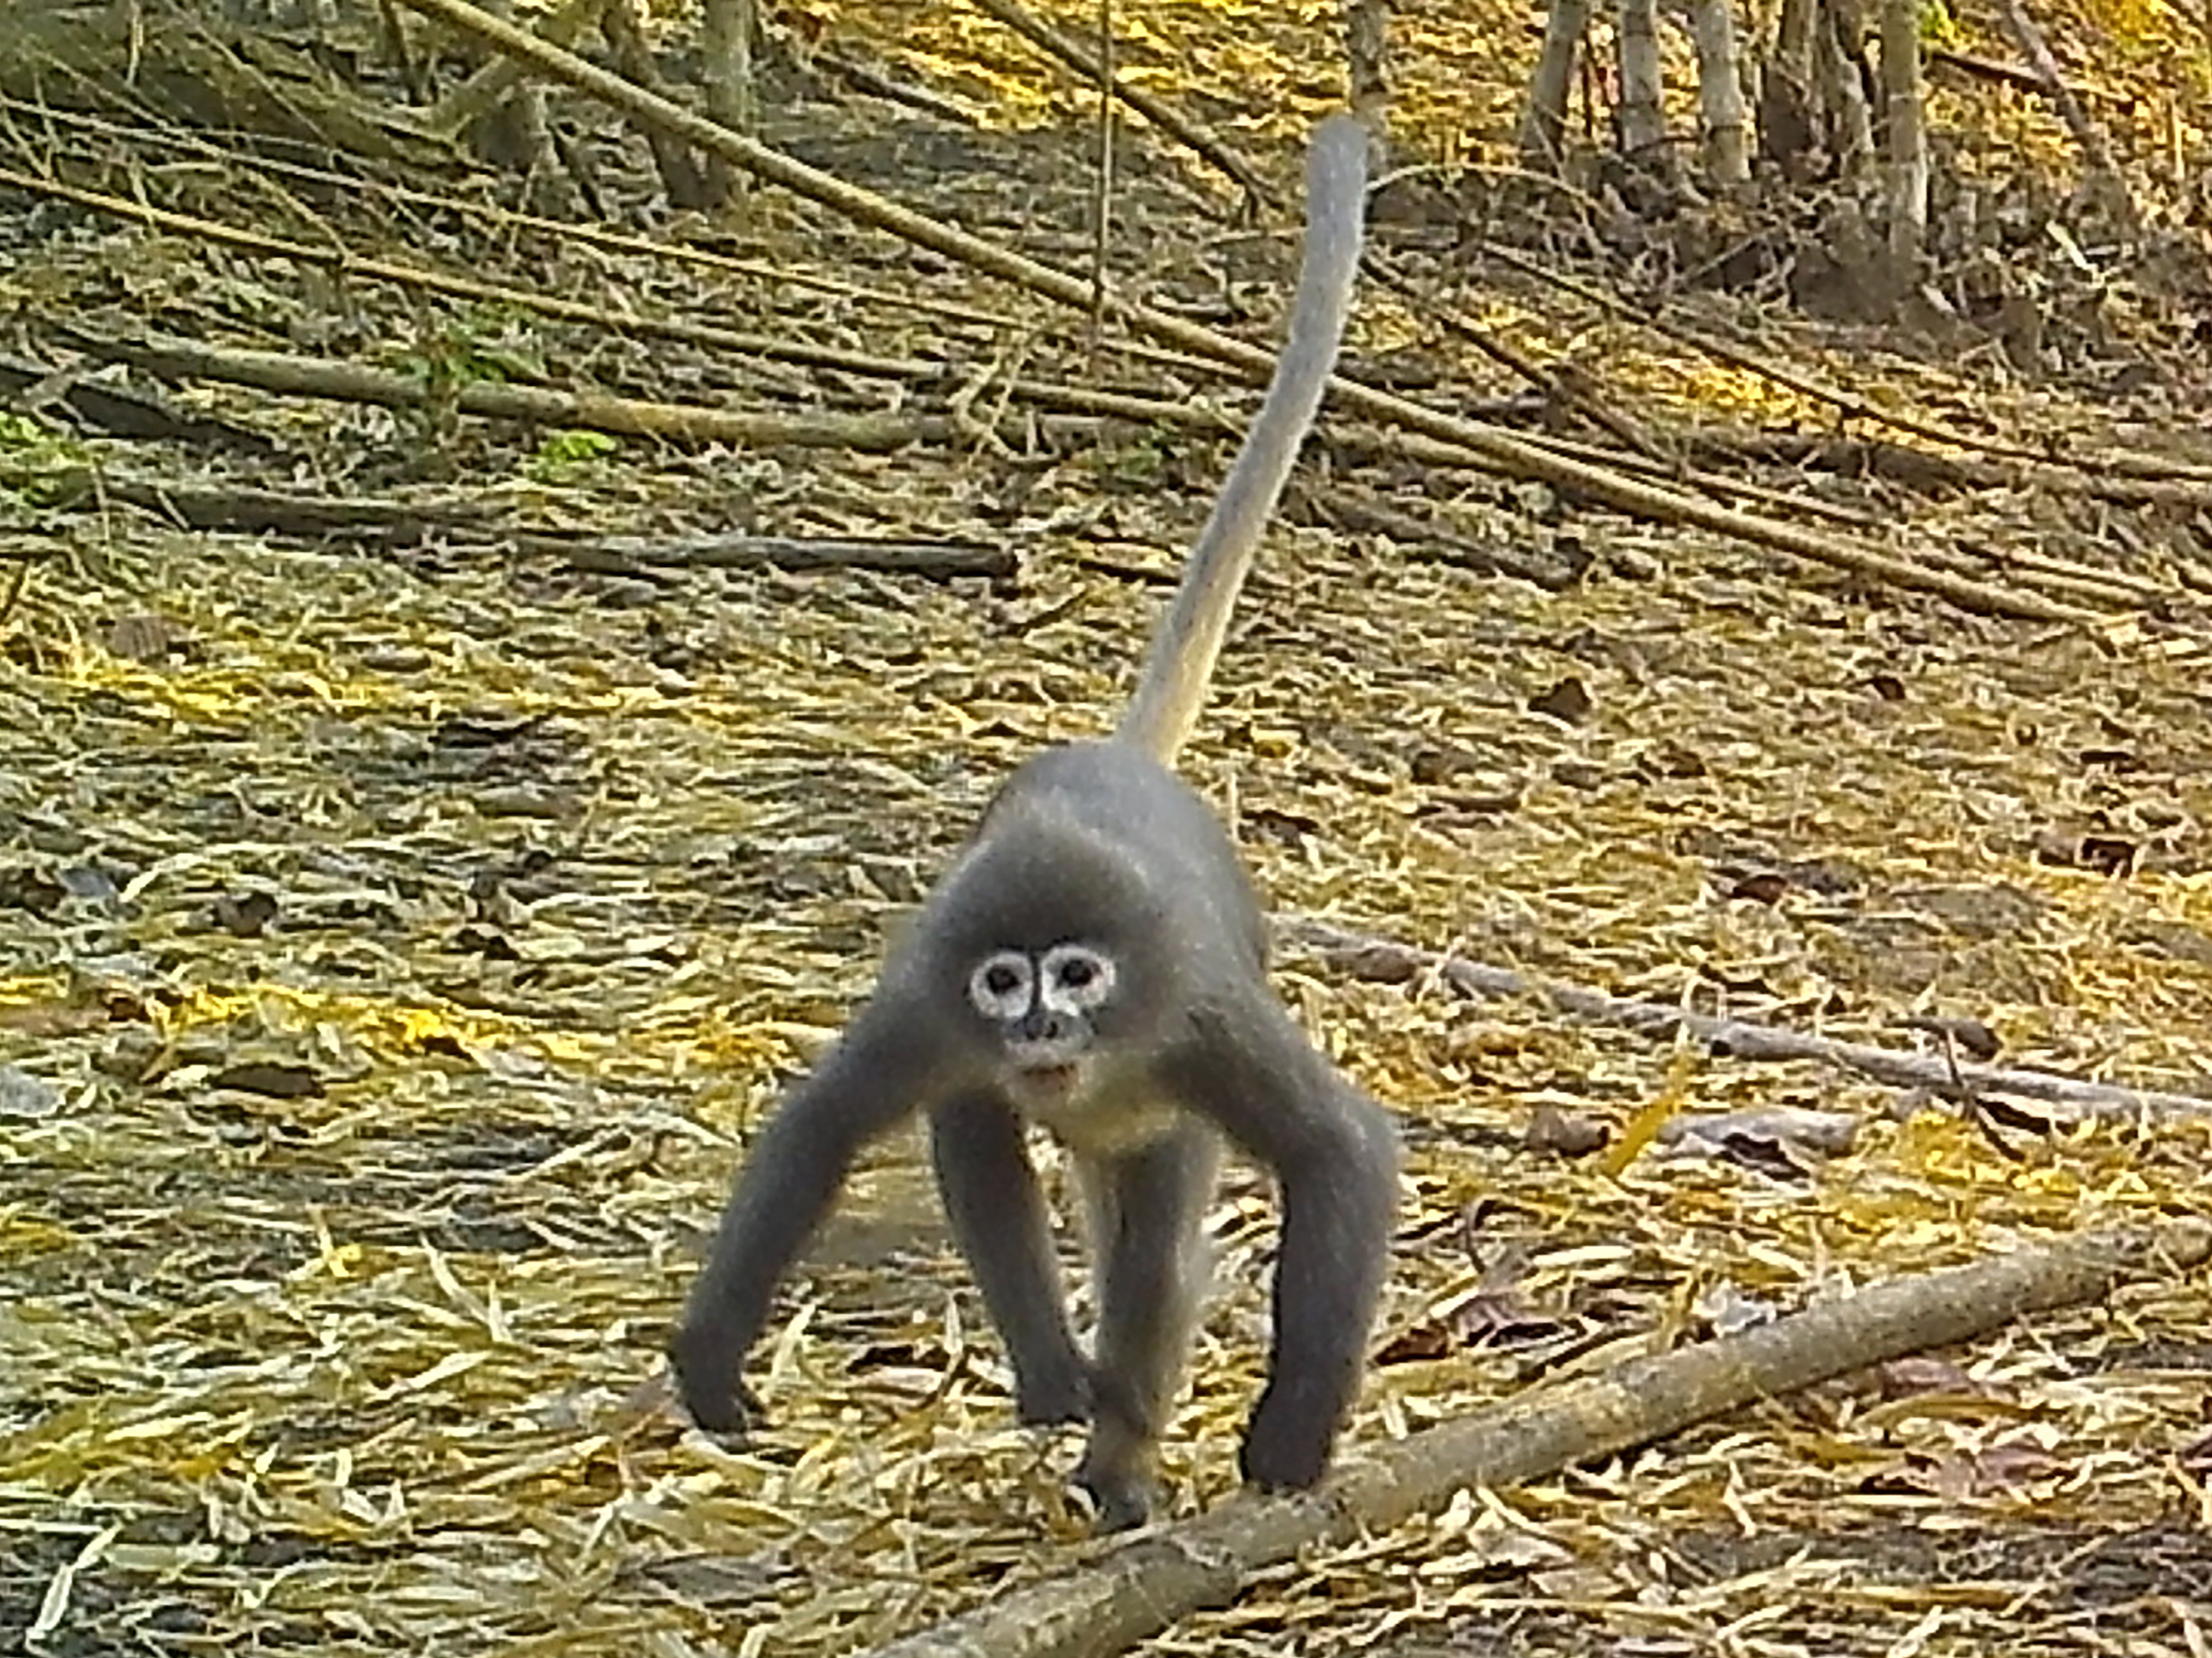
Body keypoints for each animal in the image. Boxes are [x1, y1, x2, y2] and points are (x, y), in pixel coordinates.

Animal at [672, 117, 1398, 1538]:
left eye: (1077, 974)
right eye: (1008, 979)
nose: (1038, 1027)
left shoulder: (1195, 1013)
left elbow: (1337, 1148)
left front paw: (1289, 1433)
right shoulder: (929, 997)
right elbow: (822, 1126)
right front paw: (712, 1352)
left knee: (1152, 1256)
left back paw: (1118, 1451)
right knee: (977, 1141)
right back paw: (1058, 1378)